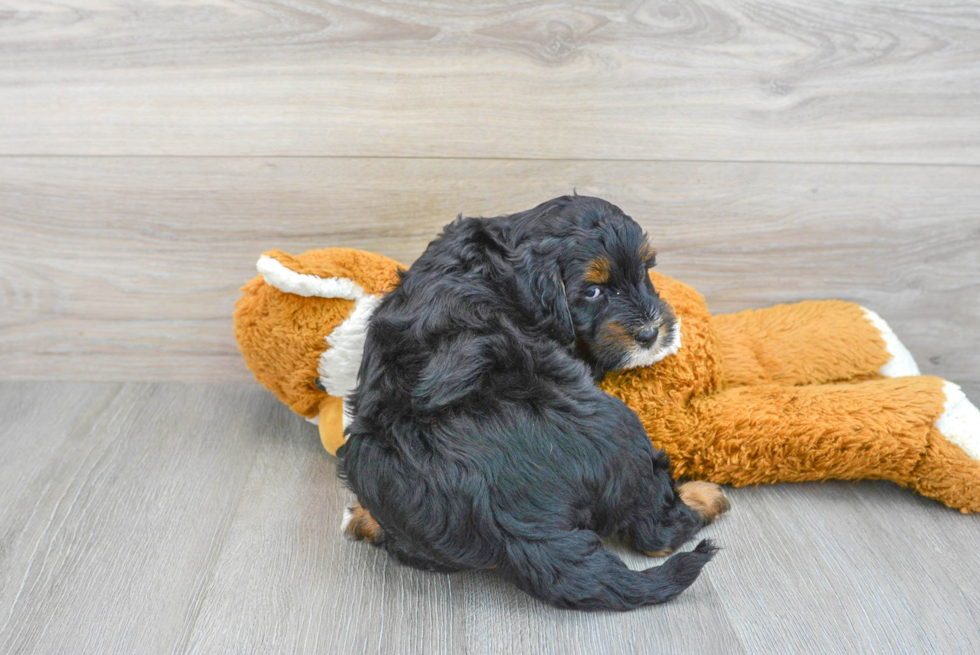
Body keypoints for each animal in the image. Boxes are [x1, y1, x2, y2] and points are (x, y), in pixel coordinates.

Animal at [338, 193, 728, 608]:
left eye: (644, 272)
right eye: (593, 291)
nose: (651, 333)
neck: (505, 262)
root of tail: (509, 523)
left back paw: (364, 518)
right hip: (617, 425)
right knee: (655, 530)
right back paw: (702, 497)